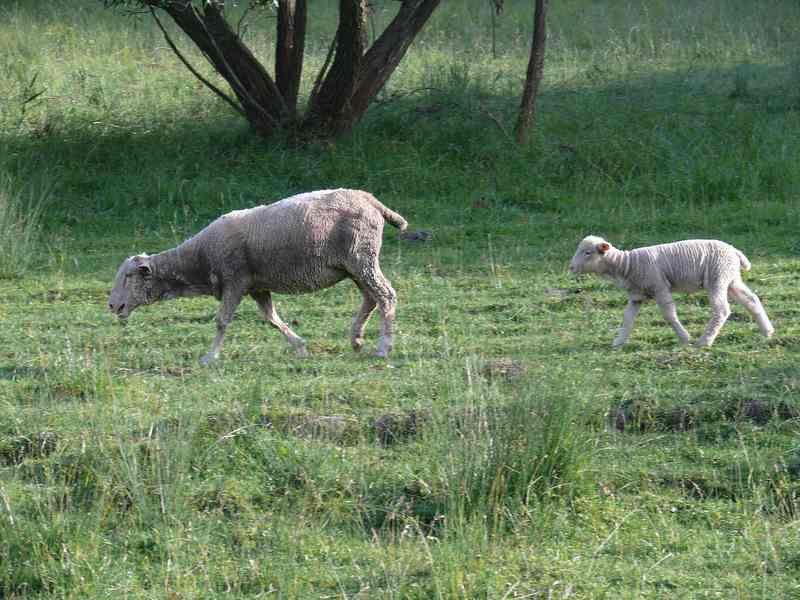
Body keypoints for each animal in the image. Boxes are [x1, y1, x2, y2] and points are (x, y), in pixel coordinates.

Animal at [108, 190, 406, 364]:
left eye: (128, 277)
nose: (112, 305)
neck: (199, 260)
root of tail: (370, 200)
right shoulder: (256, 286)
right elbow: (271, 318)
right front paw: (300, 346)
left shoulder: (235, 280)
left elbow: (222, 321)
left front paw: (210, 357)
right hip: (353, 265)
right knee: (370, 298)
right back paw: (357, 339)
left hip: (361, 257)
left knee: (385, 296)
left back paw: (383, 347)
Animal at [568, 234, 776, 346]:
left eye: (588, 252)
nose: (571, 268)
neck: (627, 265)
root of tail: (734, 251)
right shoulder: (636, 295)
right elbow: (627, 318)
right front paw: (618, 341)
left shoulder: (659, 286)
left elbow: (669, 314)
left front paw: (684, 338)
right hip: (731, 279)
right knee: (751, 300)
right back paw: (767, 332)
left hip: (717, 277)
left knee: (722, 310)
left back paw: (705, 341)